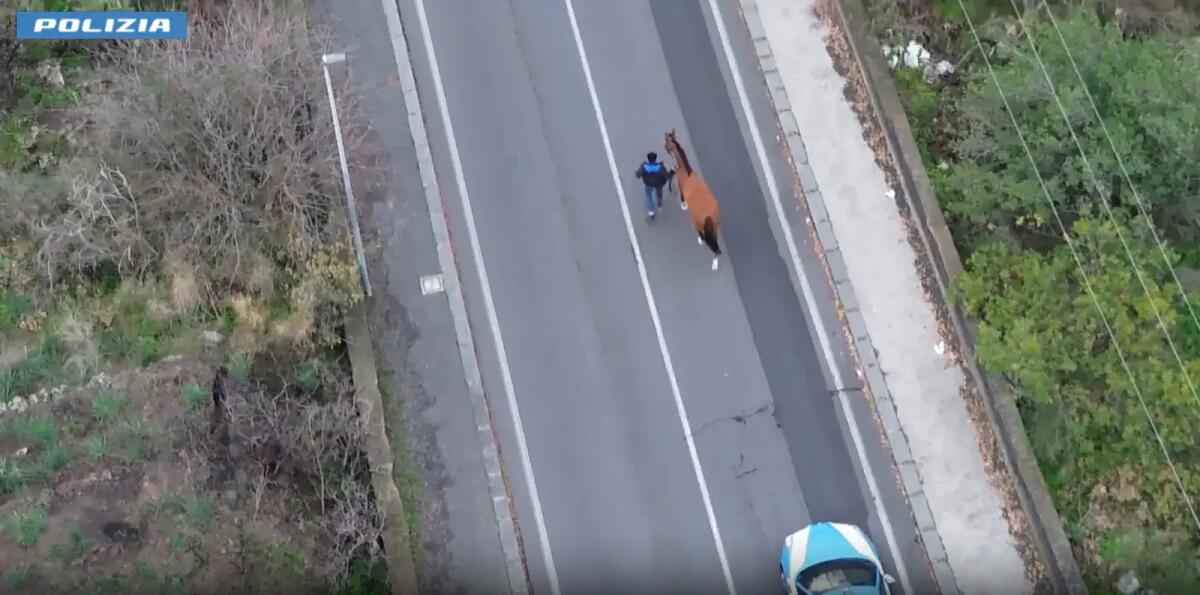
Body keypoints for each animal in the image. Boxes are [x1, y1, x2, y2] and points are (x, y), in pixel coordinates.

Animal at [663, 129, 722, 271]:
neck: (686, 172)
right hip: (716, 225)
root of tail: (709, 215)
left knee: (704, 237)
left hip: (698, 223)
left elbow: (682, 198)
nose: (665, 149)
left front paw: (683, 206)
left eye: (667, 143)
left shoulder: (680, 188)